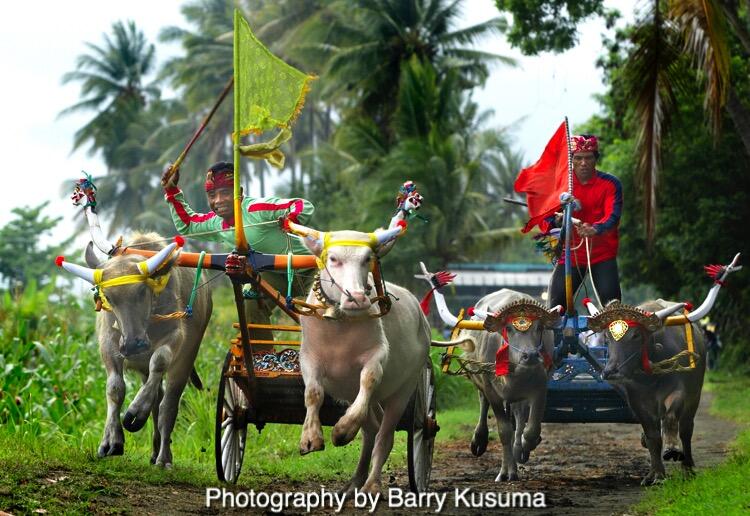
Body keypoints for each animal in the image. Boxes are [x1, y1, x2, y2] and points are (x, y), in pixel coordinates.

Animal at [56, 234, 212, 468]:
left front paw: (136, 413)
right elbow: (114, 388)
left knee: (168, 404)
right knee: (157, 397)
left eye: (141, 291)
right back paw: (154, 451)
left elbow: (160, 360)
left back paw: (163, 457)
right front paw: (111, 441)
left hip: (186, 359)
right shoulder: (109, 343)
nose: (133, 344)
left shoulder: (176, 336)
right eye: (108, 297)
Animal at [286, 220, 432, 494]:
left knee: (384, 436)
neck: (340, 325)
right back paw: (355, 481)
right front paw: (310, 438)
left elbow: (369, 378)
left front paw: (342, 430)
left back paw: (371, 483)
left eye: (367, 259)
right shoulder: (309, 358)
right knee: (371, 429)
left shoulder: (377, 355)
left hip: (405, 388)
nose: (357, 298)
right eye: (333, 258)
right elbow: (313, 393)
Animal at [420, 264, 560, 482]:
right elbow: (504, 430)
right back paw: (480, 440)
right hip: (480, 380)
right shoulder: (491, 389)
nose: (530, 356)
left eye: (538, 327)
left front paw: (525, 446)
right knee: (484, 403)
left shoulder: (540, 386)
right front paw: (506, 472)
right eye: (508, 328)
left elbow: (530, 429)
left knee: (519, 416)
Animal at [592, 254, 744, 484]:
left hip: (695, 396)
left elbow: (672, 418)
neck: (650, 378)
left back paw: (688, 467)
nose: (611, 371)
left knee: (686, 429)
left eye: (636, 335)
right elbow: (652, 436)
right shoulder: (637, 401)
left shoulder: (679, 391)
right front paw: (655, 474)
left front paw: (672, 450)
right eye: (607, 337)